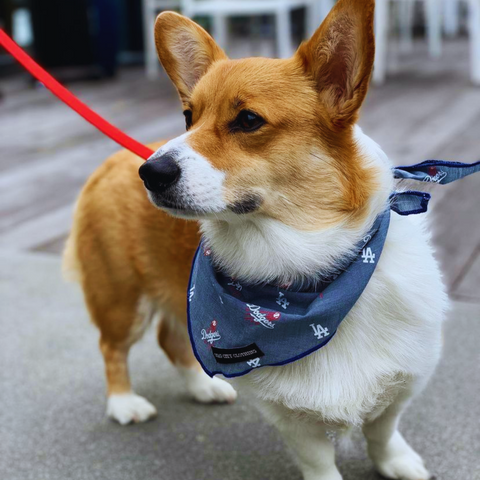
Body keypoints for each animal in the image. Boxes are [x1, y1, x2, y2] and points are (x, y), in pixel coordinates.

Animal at [63, 1, 446, 478]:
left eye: (248, 120)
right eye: (189, 117)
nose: (149, 173)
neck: (310, 276)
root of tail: (112, 160)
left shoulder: (401, 380)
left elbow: (383, 431)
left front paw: (397, 463)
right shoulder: (290, 414)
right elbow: (319, 461)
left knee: (172, 340)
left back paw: (203, 387)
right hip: (122, 299)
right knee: (112, 347)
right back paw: (123, 402)